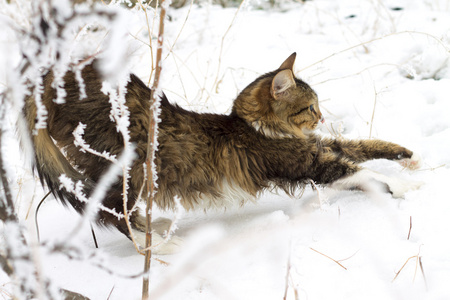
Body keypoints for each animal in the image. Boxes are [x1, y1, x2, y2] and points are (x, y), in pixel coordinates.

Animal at [23, 53, 422, 253]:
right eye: (311, 106)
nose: (323, 117)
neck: (252, 125)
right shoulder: (306, 161)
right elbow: (357, 170)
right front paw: (404, 188)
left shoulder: (319, 145)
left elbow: (363, 146)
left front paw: (408, 156)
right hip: (130, 171)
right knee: (114, 216)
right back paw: (164, 244)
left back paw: (159, 228)